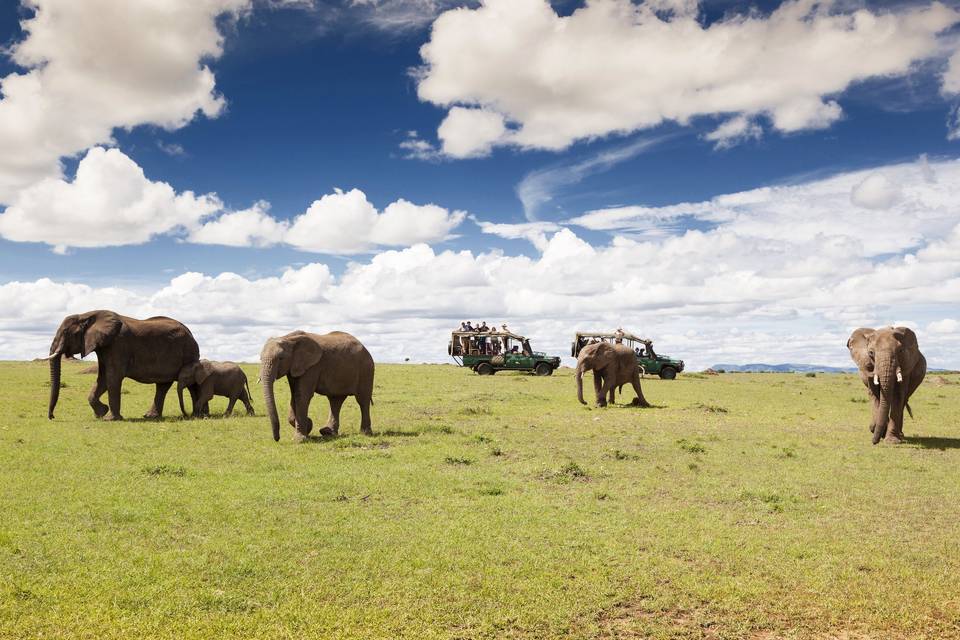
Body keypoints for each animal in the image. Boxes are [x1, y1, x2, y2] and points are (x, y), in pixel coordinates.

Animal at [44, 310, 200, 420]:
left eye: (66, 332)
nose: (52, 417)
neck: (86, 315)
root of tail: (190, 332)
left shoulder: (117, 344)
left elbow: (113, 377)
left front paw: (109, 418)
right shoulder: (104, 346)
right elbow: (103, 378)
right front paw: (101, 413)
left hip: (189, 353)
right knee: (162, 386)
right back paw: (150, 416)